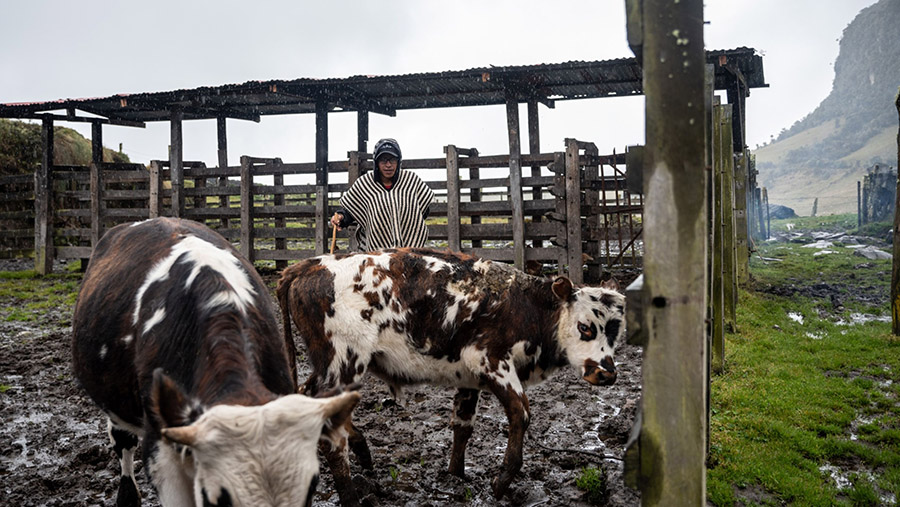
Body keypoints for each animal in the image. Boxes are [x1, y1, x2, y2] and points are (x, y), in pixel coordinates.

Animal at [276, 246, 624, 504]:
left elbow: (462, 426)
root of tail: (307, 266)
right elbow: (520, 413)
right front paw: (501, 482)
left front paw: (456, 476)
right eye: (585, 327)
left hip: (330, 369)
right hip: (345, 364)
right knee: (332, 435)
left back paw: (360, 450)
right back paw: (350, 494)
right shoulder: (492, 361)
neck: (523, 306)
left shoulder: (469, 379)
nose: (605, 373)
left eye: (616, 329)